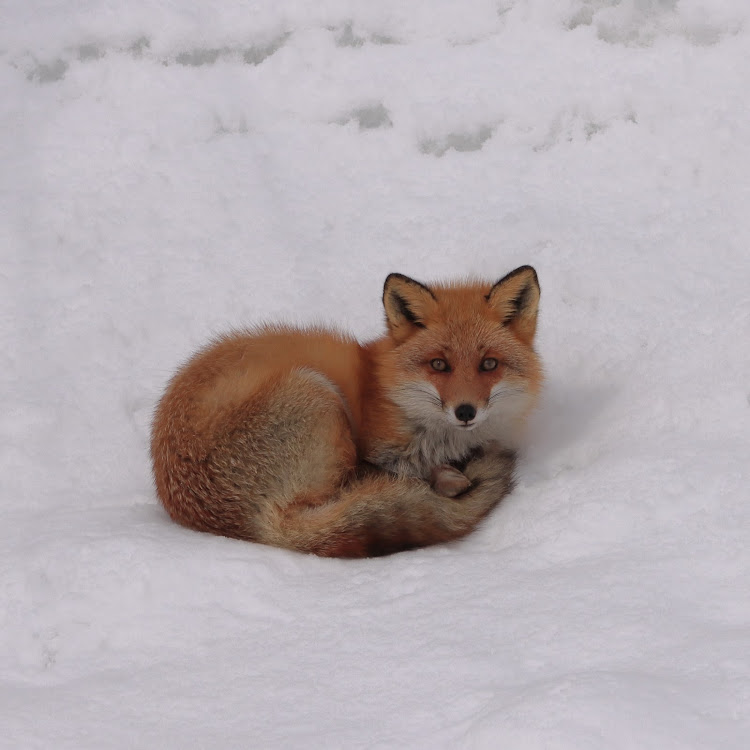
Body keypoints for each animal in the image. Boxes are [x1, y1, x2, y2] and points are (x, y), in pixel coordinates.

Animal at [151, 266, 540, 560]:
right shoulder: (378, 450)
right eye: (439, 365)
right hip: (318, 392)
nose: (465, 411)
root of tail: (257, 529)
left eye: (489, 364)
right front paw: (443, 477)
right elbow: (391, 471)